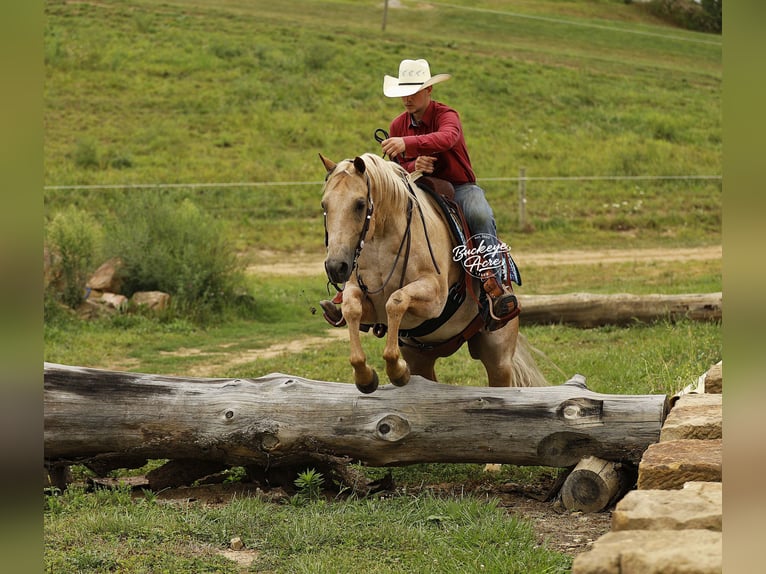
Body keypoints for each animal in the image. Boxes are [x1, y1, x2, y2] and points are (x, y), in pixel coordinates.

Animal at [320, 152, 547, 394]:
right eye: (325, 205)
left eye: (360, 204)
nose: (335, 266)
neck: (381, 243)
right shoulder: (366, 299)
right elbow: (351, 309)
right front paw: (365, 376)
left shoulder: (434, 297)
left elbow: (396, 301)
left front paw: (397, 370)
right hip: (420, 358)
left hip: (498, 355)